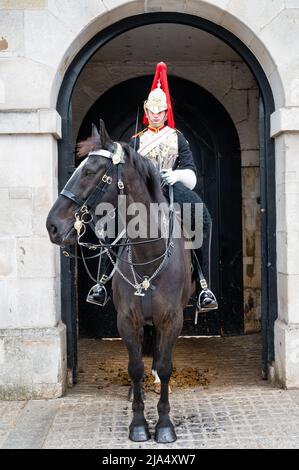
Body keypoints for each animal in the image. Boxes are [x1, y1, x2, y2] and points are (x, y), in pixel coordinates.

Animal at [46, 119, 196, 442]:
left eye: (89, 171)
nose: (52, 225)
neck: (148, 254)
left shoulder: (172, 319)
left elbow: (165, 366)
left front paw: (164, 425)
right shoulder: (126, 319)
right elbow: (135, 367)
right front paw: (139, 423)